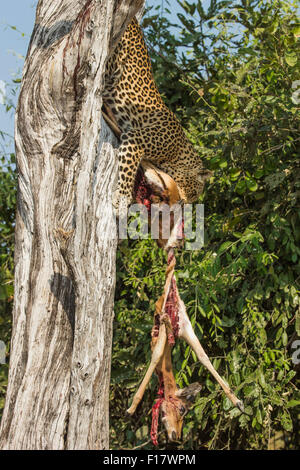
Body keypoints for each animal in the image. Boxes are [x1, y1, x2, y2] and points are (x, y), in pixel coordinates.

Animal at [103, 17, 211, 213]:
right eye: (193, 193)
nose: (184, 203)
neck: (178, 152)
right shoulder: (135, 138)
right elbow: (127, 169)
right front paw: (121, 198)